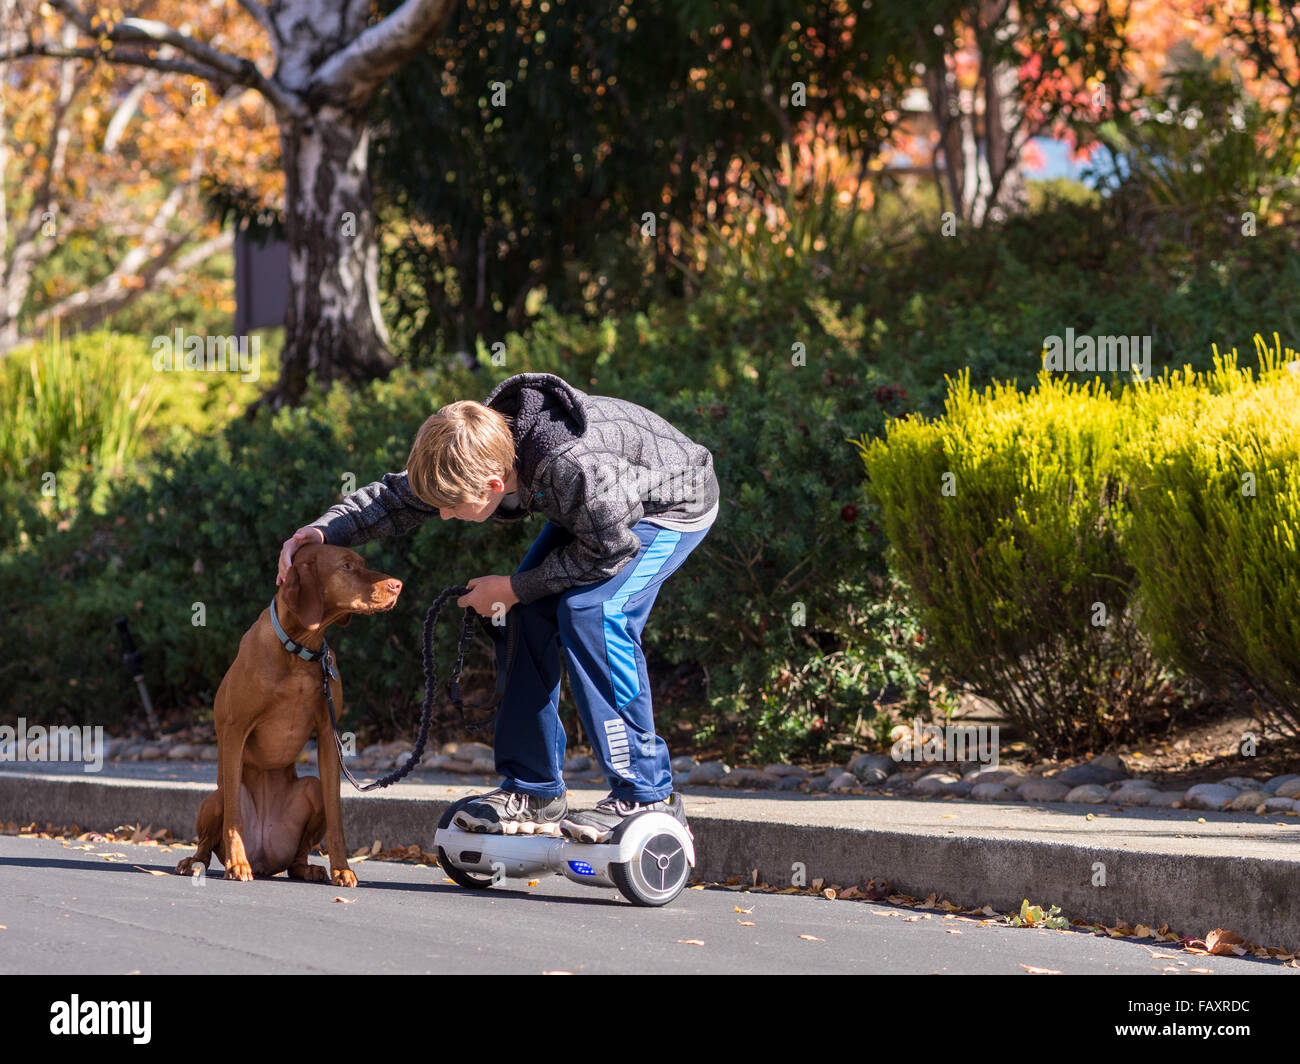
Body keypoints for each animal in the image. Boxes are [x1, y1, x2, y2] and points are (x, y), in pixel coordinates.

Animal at [175, 543, 400, 884]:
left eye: (362, 562)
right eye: (346, 566)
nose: (398, 585)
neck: (298, 648)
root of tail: (265, 861)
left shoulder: (327, 734)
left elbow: (336, 816)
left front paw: (342, 868)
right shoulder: (235, 729)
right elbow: (234, 818)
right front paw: (237, 864)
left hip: (310, 793)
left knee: (296, 858)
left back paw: (308, 868)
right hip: (215, 797)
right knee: (211, 833)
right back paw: (196, 863)